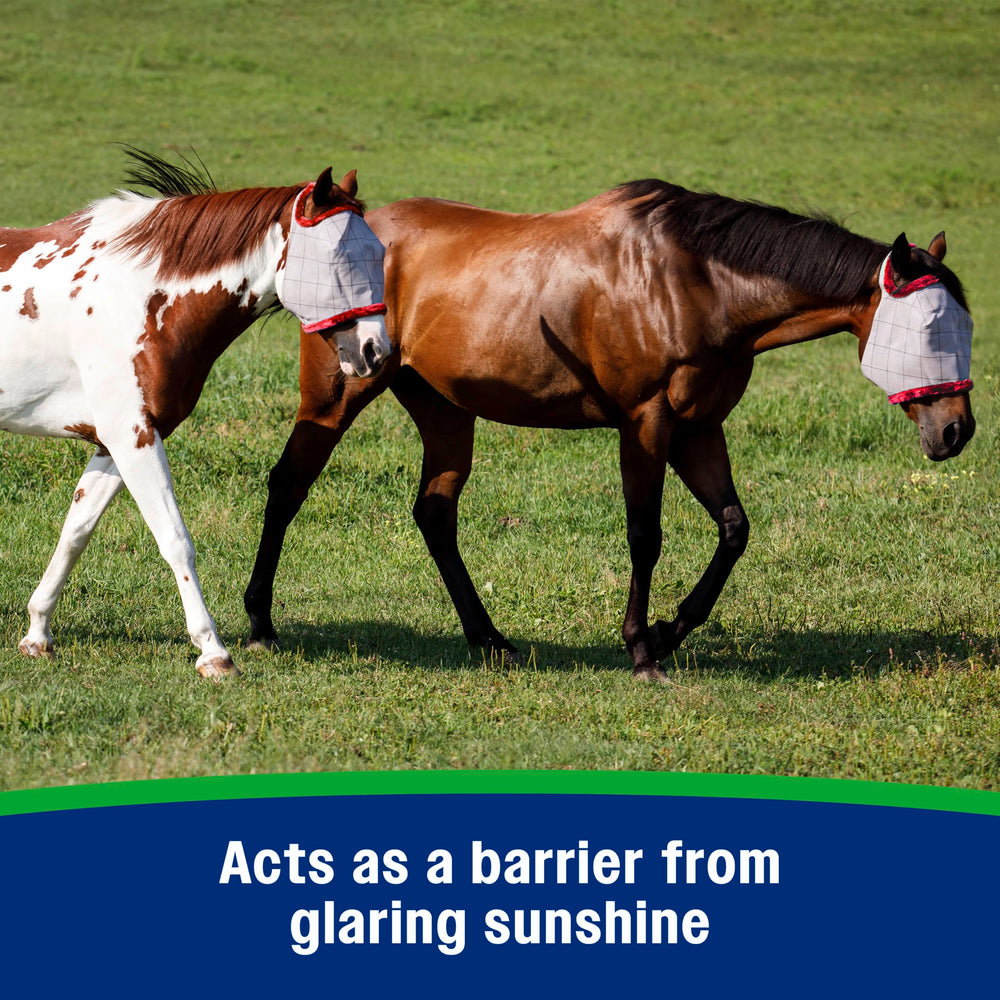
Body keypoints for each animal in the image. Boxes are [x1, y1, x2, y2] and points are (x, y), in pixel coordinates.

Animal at [0, 149, 392, 678]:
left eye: (379, 253)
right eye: (339, 257)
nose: (376, 351)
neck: (141, 296)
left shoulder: (115, 441)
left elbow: (75, 532)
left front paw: (37, 634)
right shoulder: (133, 437)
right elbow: (174, 538)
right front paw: (213, 651)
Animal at [242, 180, 976, 681]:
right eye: (931, 327)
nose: (957, 430)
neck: (695, 283)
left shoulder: (699, 430)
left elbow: (734, 529)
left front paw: (671, 629)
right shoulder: (645, 423)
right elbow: (645, 535)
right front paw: (641, 646)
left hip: (446, 412)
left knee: (434, 514)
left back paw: (488, 639)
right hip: (338, 394)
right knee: (289, 486)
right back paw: (260, 620)